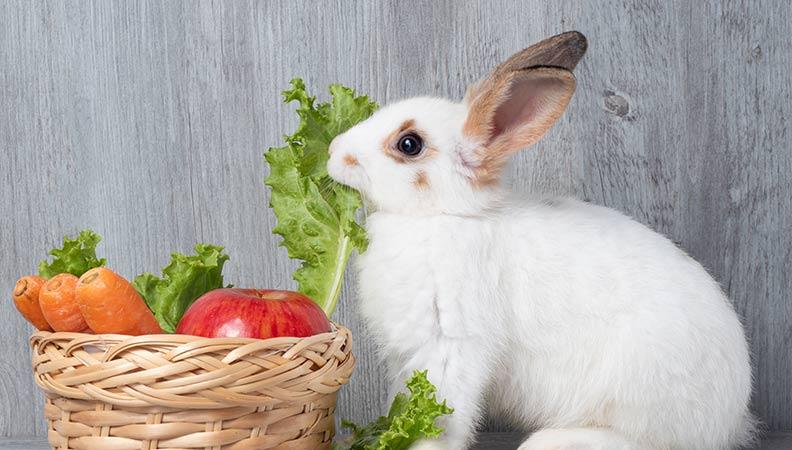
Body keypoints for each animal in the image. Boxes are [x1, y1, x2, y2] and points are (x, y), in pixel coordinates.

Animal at [326, 31, 755, 450]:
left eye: (409, 144)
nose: (334, 152)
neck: (443, 216)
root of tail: (732, 418)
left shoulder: (451, 345)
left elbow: (443, 414)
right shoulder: (408, 358)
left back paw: (554, 440)